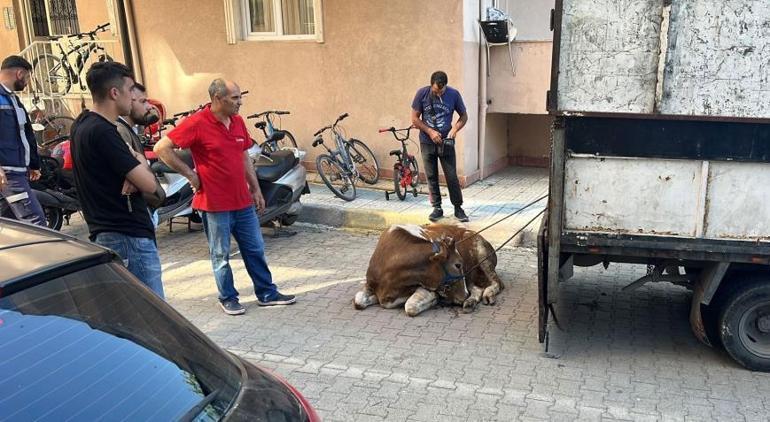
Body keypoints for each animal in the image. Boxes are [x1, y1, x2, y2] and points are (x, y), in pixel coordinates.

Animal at [354, 224, 504, 316]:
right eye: (457, 265)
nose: (464, 294)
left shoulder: (427, 288)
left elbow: (410, 307)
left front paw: (435, 299)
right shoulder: (370, 284)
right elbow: (358, 301)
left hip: (483, 256)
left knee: (497, 283)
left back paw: (484, 295)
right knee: (477, 289)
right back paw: (469, 302)